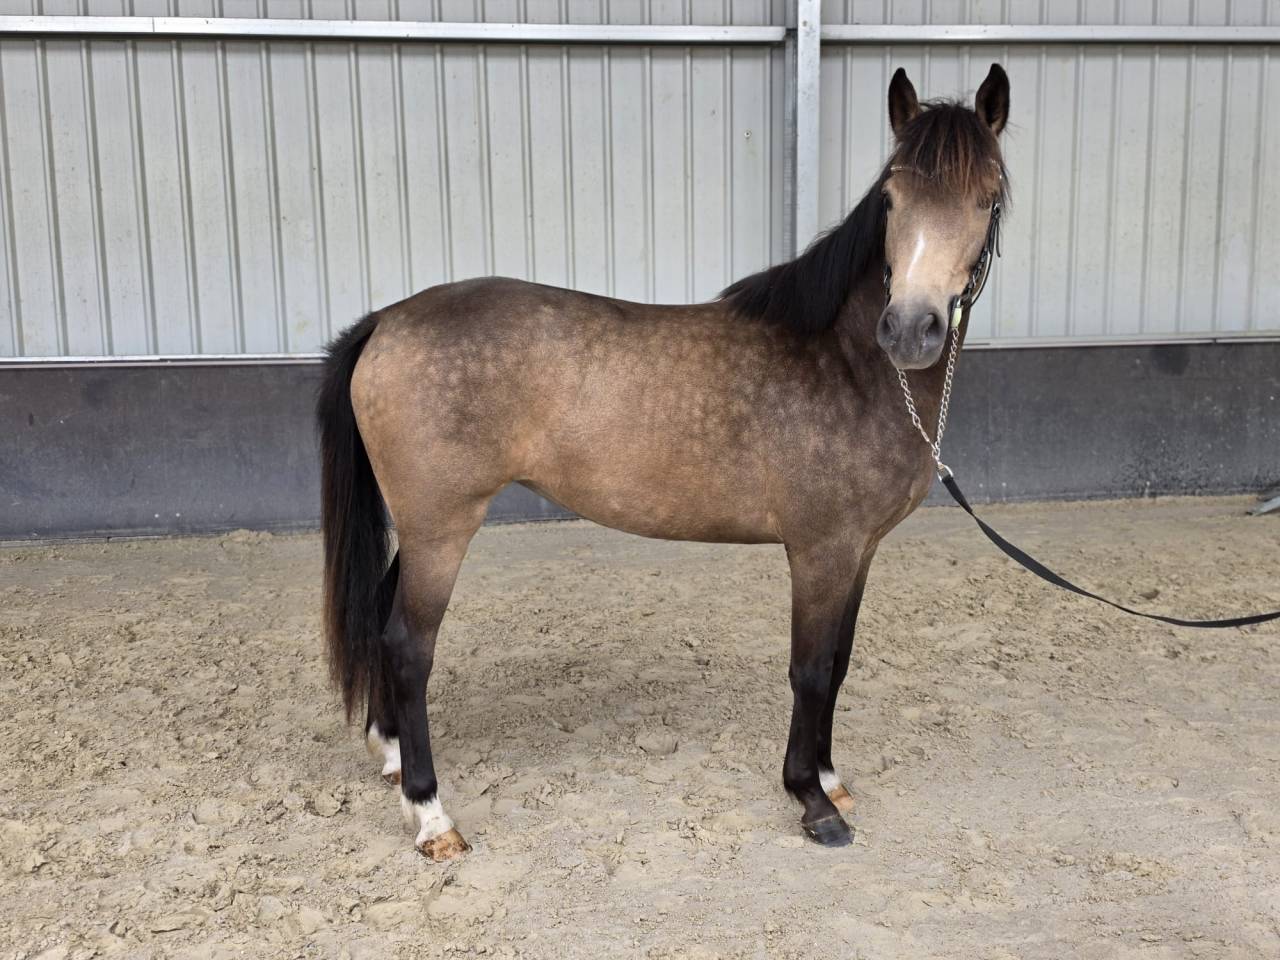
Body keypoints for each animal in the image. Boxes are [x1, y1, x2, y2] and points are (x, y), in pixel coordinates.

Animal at [316, 64, 1010, 860]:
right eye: (891, 197)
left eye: (988, 197)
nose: (910, 329)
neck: (847, 363)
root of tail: (386, 321)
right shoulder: (821, 552)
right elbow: (809, 670)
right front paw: (811, 800)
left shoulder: (859, 552)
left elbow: (837, 664)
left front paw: (832, 779)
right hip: (441, 529)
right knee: (408, 646)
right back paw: (431, 813)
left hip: (424, 525)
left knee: (379, 620)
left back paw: (393, 756)